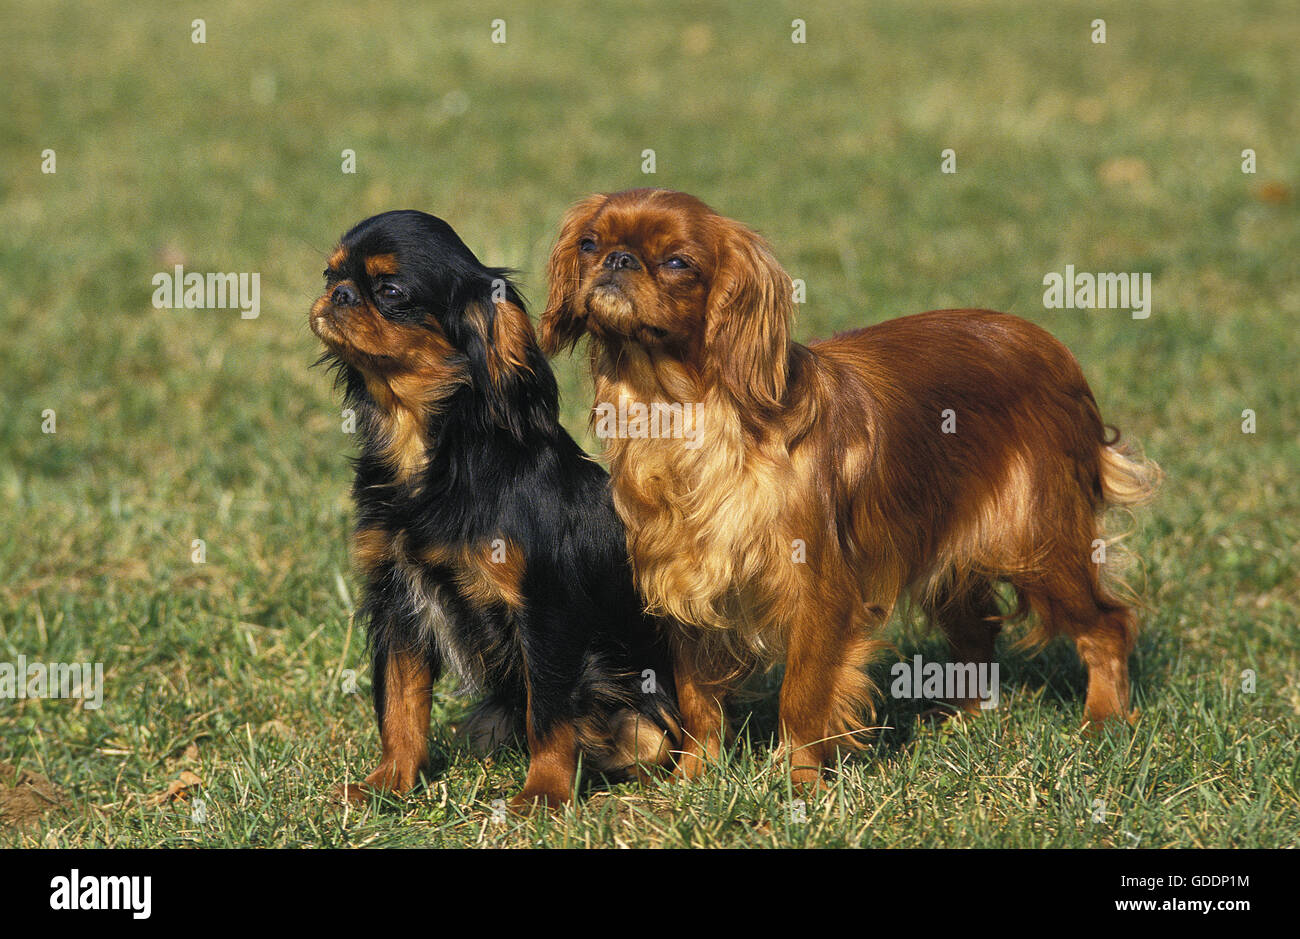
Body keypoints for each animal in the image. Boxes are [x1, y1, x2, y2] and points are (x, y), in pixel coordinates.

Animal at [312, 208, 681, 806]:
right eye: (330, 274)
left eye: (390, 291)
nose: (339, 294)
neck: (427, 447)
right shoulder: (398, 601)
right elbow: (401, 701)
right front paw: (389, 783)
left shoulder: (545, 611)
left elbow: (549, 713)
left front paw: (543, 795)